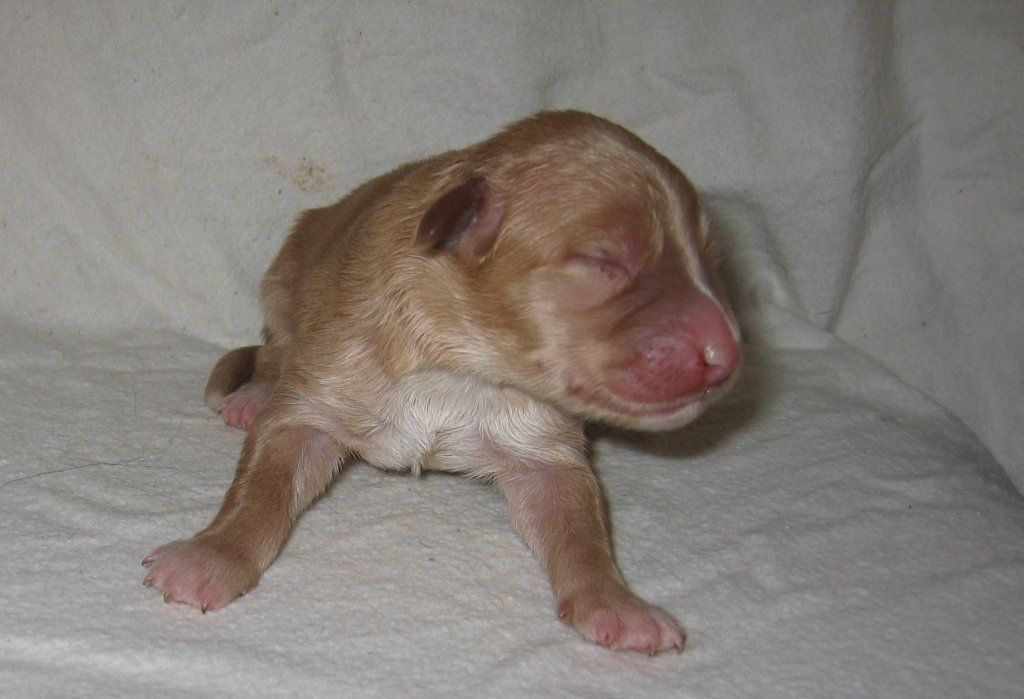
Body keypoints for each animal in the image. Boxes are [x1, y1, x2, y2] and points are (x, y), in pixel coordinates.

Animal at [143, 110, 740, 654]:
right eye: (602, 260)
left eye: (712, 262)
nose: (729, 354)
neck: (463, 371)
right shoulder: (315, 400)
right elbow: (259, 489)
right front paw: (210, 557)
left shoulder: (546, 450)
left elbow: (583, 529)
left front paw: (617, 604)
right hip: (283, 283)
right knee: (273, 351)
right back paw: (251, 396)